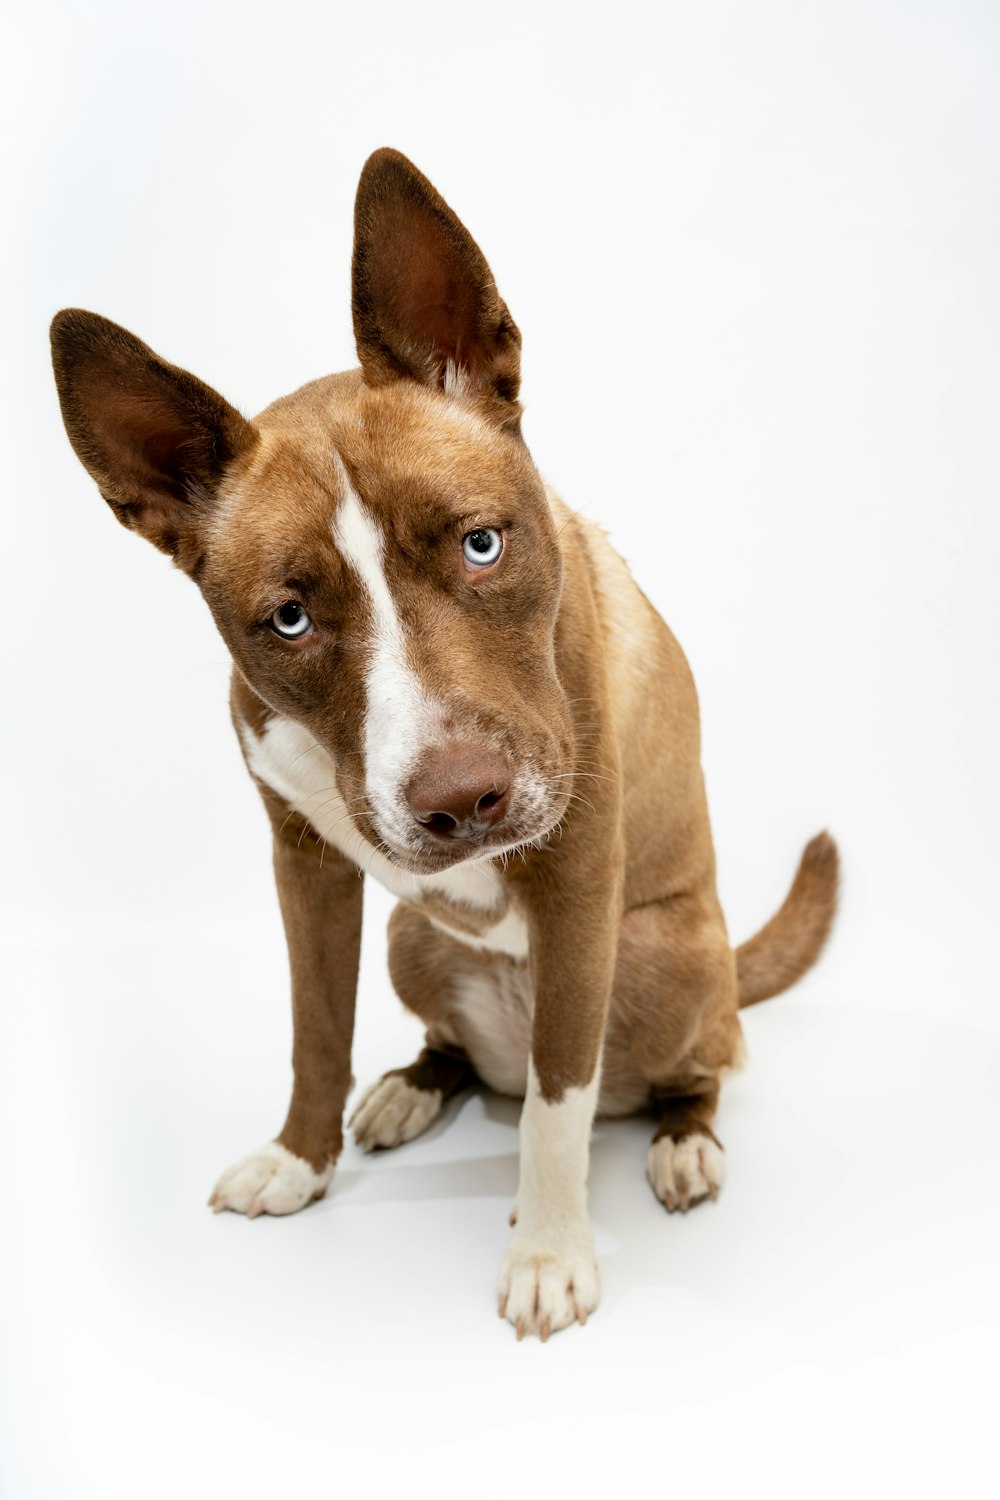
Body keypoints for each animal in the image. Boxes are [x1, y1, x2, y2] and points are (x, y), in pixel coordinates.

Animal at [52, 146, 839, 1344]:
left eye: (480, 545)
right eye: (289, 619)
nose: (465, 803)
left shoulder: (578, 879)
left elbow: (558, 1104)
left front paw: (550, 1253)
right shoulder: (304, 866)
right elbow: (314, 1028)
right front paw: (299, 1161)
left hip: (662, 958)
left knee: (686, 1063)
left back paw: (683, 1140)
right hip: (409, 939)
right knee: (468, 1054)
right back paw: (415, 1086)